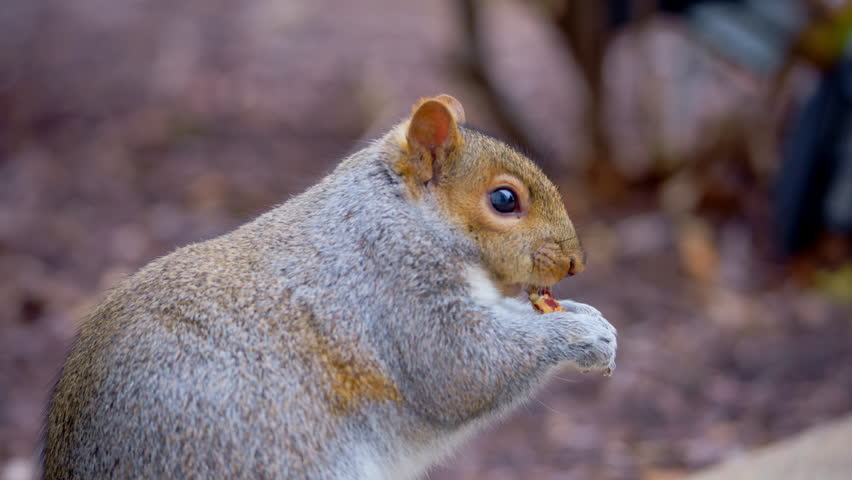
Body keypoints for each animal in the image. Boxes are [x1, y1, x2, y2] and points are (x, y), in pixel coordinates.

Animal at [42, 94, 617, 479]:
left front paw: (589, 314)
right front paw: (581, 335)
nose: (575, 263)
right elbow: (462, 368)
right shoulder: (391, 285)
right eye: (503, 200)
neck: (404, 215)